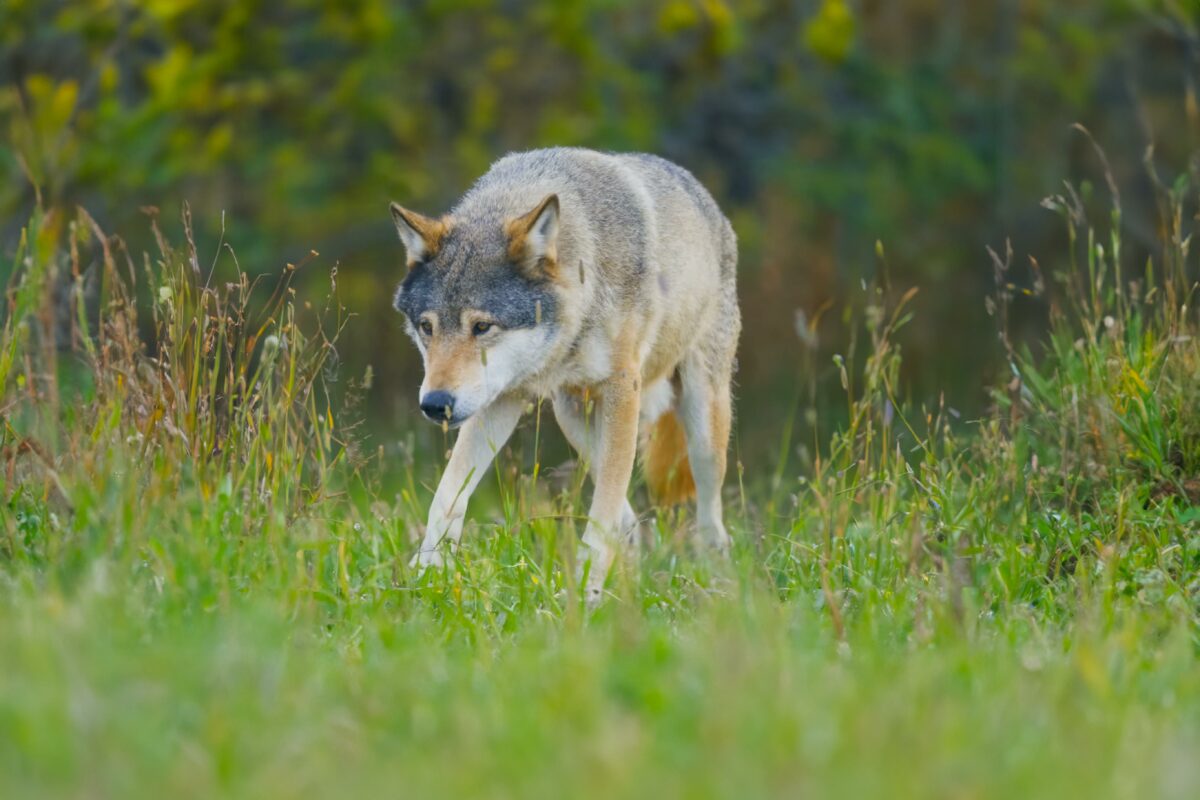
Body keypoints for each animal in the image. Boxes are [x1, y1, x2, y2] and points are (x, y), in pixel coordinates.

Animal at [388, 146, 734, 604]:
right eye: (427, 327)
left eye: (482, 326)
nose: (434, 405)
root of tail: (708, 201)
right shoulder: (502, 398)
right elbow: (446, 496)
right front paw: (425, 581)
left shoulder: (623, 388)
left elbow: (602, 514)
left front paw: (585, 597)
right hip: (573, 417)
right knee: (626, 511)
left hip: (701, 427)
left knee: (710, 515)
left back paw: (720, 580)